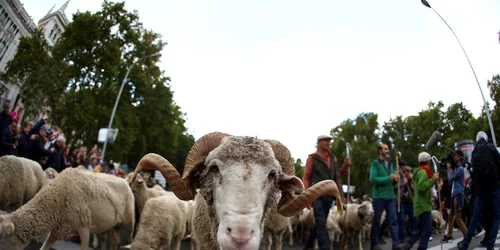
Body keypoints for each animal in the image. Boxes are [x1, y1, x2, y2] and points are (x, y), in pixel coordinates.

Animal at [0, 166, 135, 250]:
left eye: (2, 238)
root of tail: (125, 181)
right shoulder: (57, 230)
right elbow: (44, 247)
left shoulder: (84, 229)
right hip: (111, 226)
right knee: (114, 240)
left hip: (129, 224)